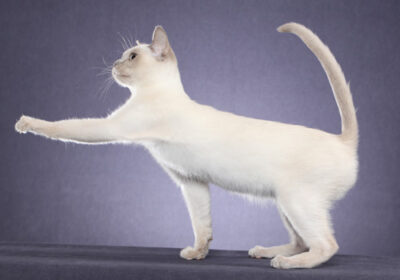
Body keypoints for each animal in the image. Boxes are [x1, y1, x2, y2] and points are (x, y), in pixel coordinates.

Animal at [16, 22, 360, 270]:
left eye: (132, 56)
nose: (113, 64)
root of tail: (344, 142)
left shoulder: (111, 127)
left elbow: (65, 126)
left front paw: (26, 123)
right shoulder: (190, 180)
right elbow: (201, 223)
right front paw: (198, 252)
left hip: (296, 201)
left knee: (325, 245)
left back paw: (286, 262)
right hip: (283, 202)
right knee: (303, 241)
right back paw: (265, 251)